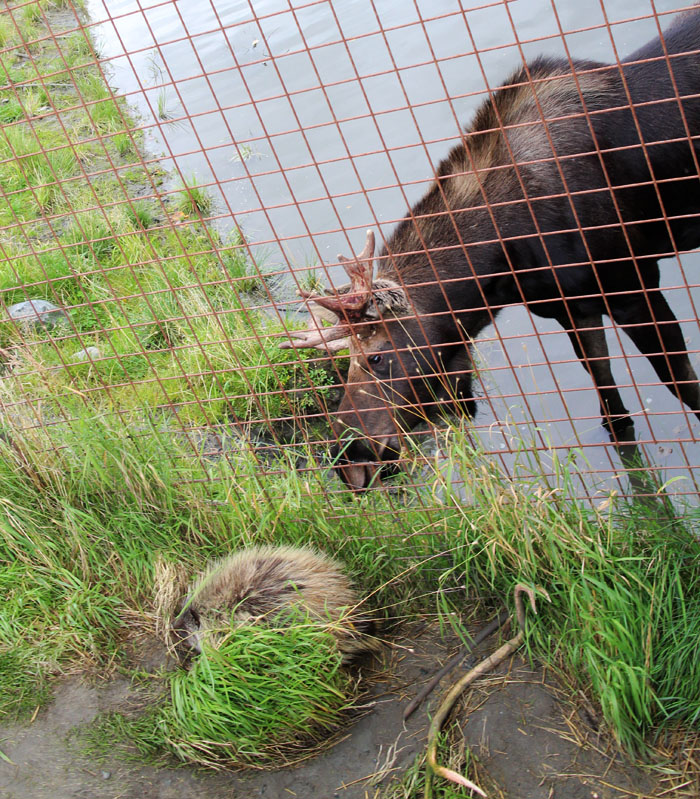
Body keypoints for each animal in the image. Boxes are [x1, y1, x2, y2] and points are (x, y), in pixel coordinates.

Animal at [281, 5, 700, 491]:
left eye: (377, 356)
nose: (349, 458)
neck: (503, 270)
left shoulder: (633, 285)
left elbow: (684, 387)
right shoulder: (572, 307)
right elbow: (611, 407)